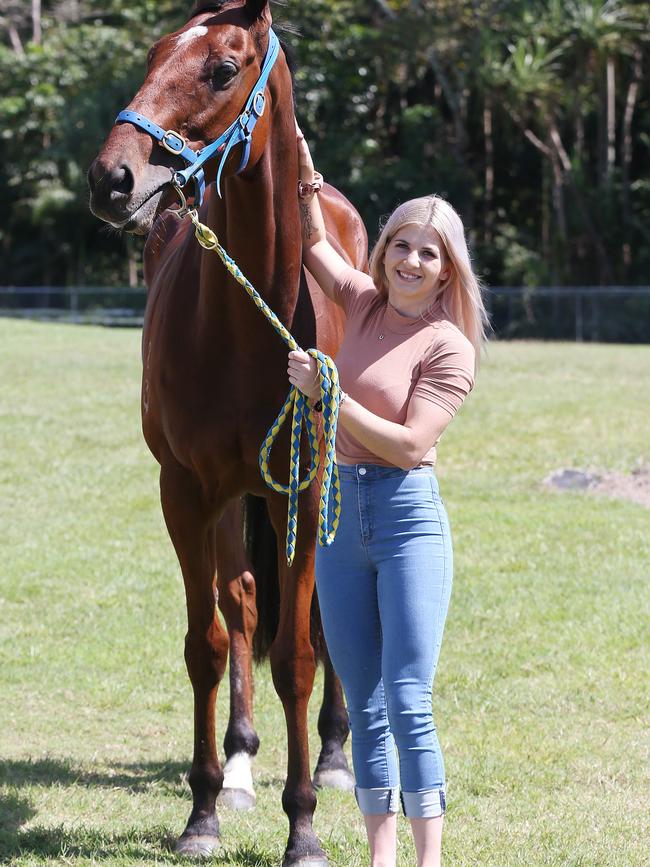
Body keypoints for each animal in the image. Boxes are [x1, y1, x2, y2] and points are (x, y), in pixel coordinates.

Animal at [88, 0, 368, 864]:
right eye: (153, 55)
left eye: (221, 68)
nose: (112, 178)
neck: (251, 321)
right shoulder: (187, 490)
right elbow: (208, 643)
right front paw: (204, 809)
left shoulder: (302, 492)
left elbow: (299, 654)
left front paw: (304, 822)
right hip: (229, 500)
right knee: (241, 602)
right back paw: (241, 763)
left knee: (318, 619)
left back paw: (337, 751)